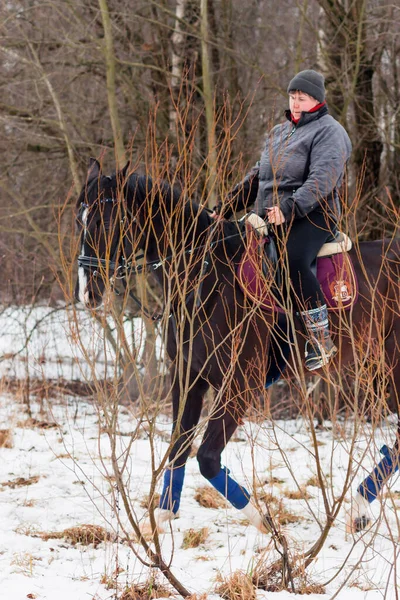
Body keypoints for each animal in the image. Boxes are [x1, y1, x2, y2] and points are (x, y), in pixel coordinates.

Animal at [76, 158, 400, 540]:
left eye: (106, 220)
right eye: (80, 219)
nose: (88, 291)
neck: (206, 280)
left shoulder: (239, 386)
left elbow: (207, 458)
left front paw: (266, 525)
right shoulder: (187, 378)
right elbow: (178, 446)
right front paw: (163, 515)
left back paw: (359, 505)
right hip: (378, 369)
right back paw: (360, 508)